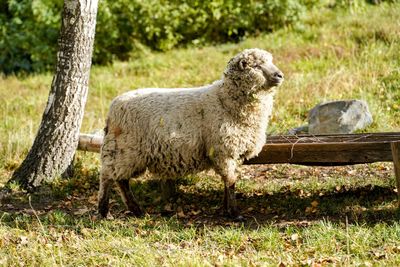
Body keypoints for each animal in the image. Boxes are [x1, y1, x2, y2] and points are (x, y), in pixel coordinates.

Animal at [98, 48, 282, 220]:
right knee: (108, 177)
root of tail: (112, 107)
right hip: (124, 150)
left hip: (127, 153)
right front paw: (234, 213)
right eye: (256, 66)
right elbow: (230, 181)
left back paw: (135, 210)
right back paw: (104, 211)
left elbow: (227, 182)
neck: (225, 100)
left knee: (121, 179)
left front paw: (225, 209)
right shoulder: (222, 151)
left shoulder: (232, 153)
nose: (280, 75)